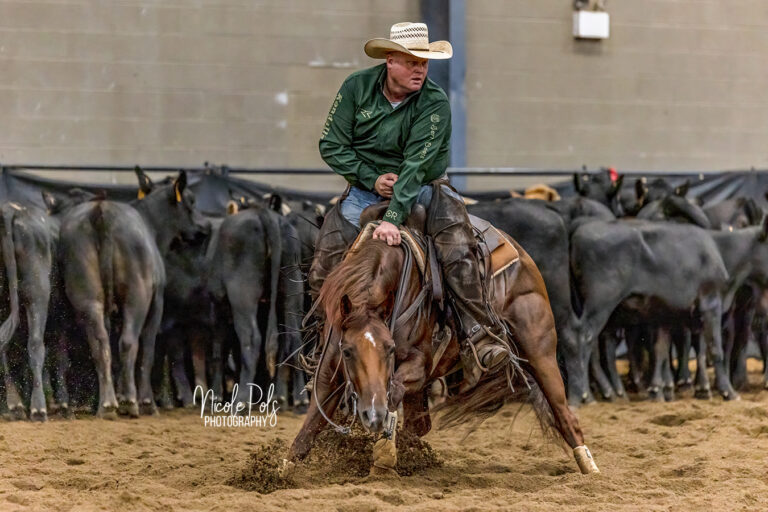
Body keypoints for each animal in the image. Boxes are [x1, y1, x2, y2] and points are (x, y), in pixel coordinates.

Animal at [59, 170, 204, 418]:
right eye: (191, 201)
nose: (204, 228)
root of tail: (101, 211)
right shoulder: (157, 302)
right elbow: (148, 350)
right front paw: (145, 401)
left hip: (87, 295)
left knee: (100, 342)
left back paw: (107, 404)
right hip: (137, 295)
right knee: (128, 342)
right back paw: (131, 403)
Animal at [288, 228, 600, 476]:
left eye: (390, 349)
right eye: (348, 351)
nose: (372, 414)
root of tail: (518, 251)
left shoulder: (420, 365)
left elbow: (394, 388)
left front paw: (384, 453)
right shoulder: (329, 373)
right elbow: (310, 425)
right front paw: (283, 471)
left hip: (540, 350)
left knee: (565, 415)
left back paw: (589, 468)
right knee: (419, 424)